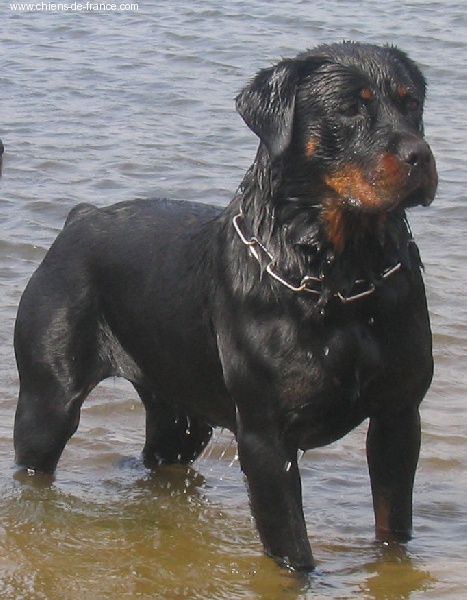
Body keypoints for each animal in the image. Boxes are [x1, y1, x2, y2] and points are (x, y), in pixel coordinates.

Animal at [14, 42, 437, 571]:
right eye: (349, 109)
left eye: (411, 103)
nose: (420, 155)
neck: (343, 273)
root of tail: (80, 217)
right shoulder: (265, 436)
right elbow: (294, 551)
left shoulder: (399, 413)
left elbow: (393, 528)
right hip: (47, 398)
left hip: (179, 408)